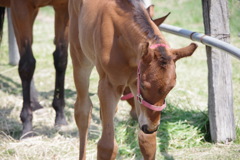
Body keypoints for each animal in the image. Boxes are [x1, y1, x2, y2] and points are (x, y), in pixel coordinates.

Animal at [0, 0, 69, 138]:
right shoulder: (21, 9)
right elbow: (27, 65)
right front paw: (27, 125)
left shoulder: (63, 8)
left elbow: (60, 59)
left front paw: (60, 116)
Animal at [69, 0, 197, 159]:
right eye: (144, 86)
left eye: (171, 87)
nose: (151, 128)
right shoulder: (109, 85)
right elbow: (107, 146)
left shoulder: (134, 83)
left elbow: (147, 142)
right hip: (80, 57)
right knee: (83, 111)